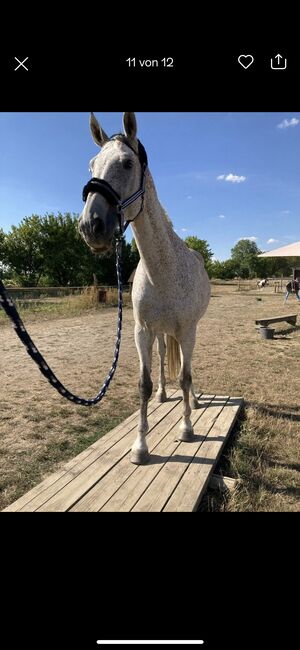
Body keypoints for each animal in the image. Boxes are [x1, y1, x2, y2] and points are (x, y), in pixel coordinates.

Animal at [79, 114, 211, 464]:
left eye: (127, 163)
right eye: (92, 164)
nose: (91, 226)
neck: (161, 270)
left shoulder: (187, 330)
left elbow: (186, 376)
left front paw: (186, 428)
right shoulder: (141, 331)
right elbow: (144, 384)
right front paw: (140, 445)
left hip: (188, 330)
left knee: (187, 367)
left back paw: (193, 401)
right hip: (161, 332)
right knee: (164, 356)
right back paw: (165, 395)